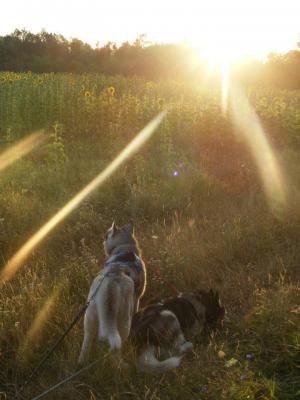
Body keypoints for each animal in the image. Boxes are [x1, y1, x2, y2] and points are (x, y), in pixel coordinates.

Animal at [78, 222, 146, 366]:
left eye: (106, 234)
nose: (102, 239)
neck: (124, 248)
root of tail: (111, 283)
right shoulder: (137, 300)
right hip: (124, 321)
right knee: (117, 346)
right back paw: (121, 365)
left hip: (89, 317)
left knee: (86, 343)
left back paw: (81, 363)